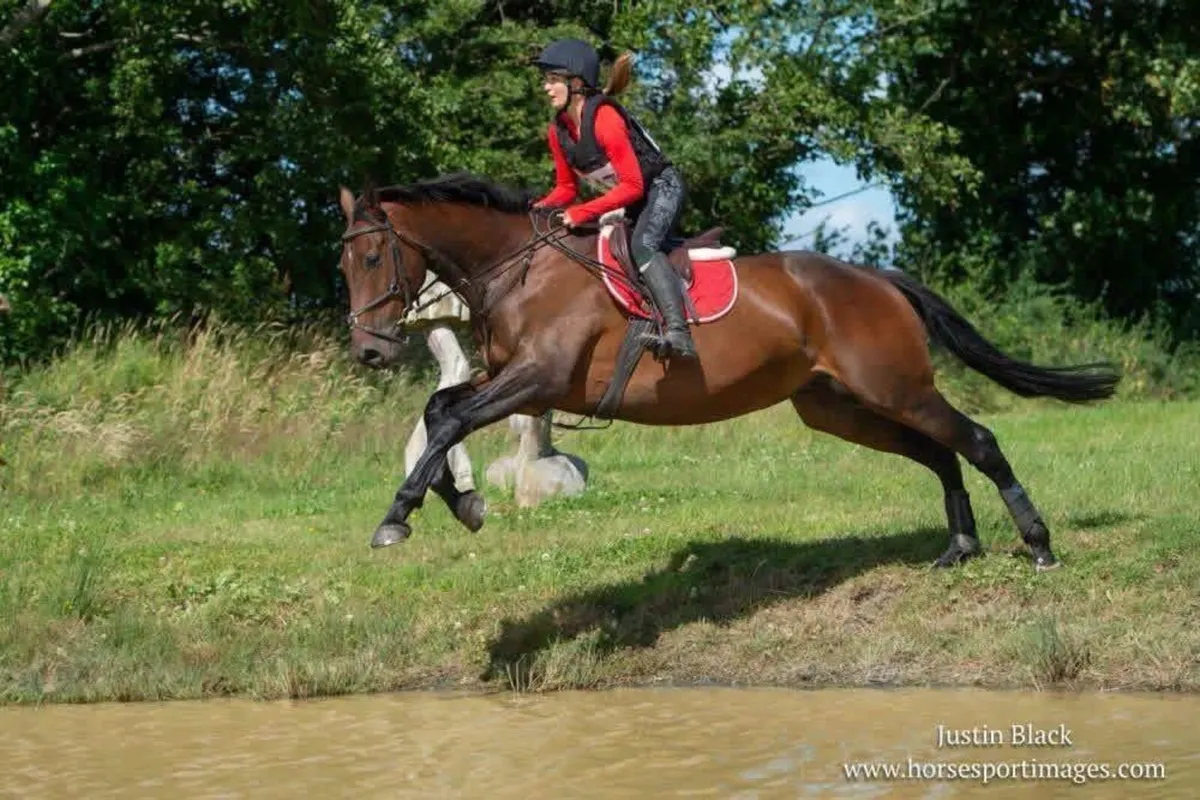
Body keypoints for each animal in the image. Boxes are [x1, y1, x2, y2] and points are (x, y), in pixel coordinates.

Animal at [335, 172, 1121, 572]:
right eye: (344, 265)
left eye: (371, 257)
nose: (370, 351)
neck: (520, 270)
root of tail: (878, 279)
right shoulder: (516, 382)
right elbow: (441, 413)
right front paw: (458, 503)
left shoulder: (538, 381)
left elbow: (451, 419)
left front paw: (398, 516)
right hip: (838, 405)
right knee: (939, 452)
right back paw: (959, 547)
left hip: (894, 387)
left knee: (977, 440)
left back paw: (1038, 544)